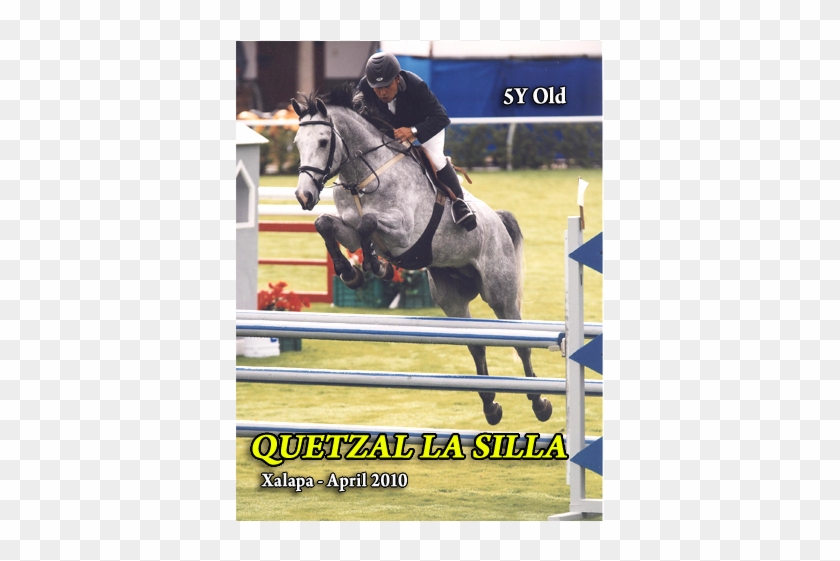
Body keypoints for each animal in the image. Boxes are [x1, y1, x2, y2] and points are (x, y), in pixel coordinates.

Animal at [290, 85, 552, 425]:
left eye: (323, 141)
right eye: (297, 143)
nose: (304, 196)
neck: (363, 176)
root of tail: (497, 220)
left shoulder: (404, 235)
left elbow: (368, 222)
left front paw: (377, 267)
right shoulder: (348, 230)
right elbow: (326, 224)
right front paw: (352, 273)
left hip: (500, 294)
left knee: (520, 343)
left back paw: (540, 403)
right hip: (451, 299)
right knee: (476, 345)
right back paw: (491, 406)